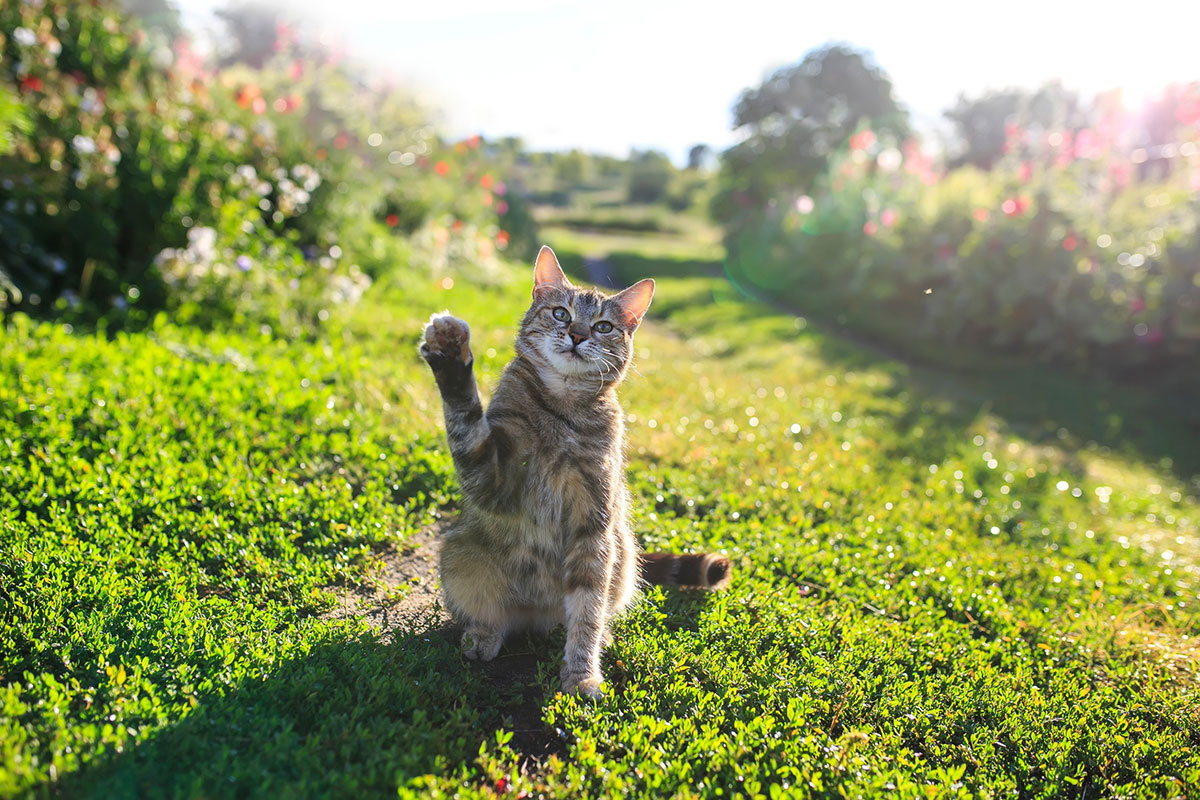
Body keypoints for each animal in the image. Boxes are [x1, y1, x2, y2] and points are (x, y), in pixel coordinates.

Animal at [417, 247, 734, 695]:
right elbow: (465, 418)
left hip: (622, 552)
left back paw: (600, 636)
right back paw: (483, 634)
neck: (562, 408)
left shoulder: (594, 523)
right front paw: (449, 353)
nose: (579, 335)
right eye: (561, 314)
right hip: (460, 555)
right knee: (492, 616)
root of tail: (537, 618)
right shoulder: (492, 481)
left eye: (603, 326)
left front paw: (582, 673)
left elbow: (587, 608)